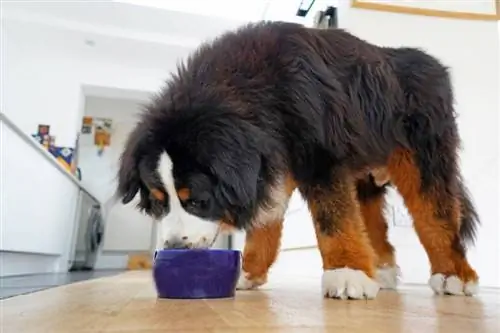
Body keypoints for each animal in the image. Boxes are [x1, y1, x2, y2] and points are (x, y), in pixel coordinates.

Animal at [116, 22, 480, 300]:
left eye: (199, 201)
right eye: (159, 203)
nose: (173, 245)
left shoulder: (321, 158)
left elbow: (334, 219)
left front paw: (346, 272)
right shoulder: (271, 162)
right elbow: (265, 222)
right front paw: (249, 272)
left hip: (423, 158)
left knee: (435, 215)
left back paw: (454, 275)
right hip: (364, 171)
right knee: (372, 222)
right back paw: (382, 270)